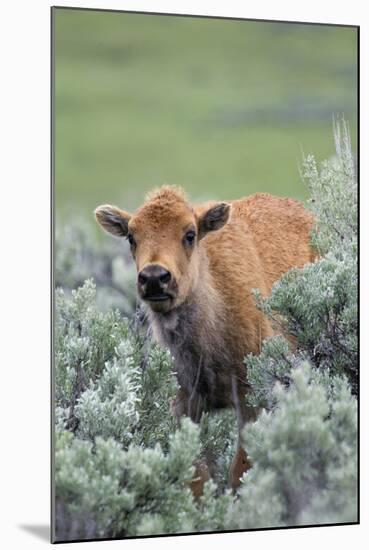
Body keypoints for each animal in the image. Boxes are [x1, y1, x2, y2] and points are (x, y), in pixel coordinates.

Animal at [94, 185, 314, 492]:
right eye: (131, 237)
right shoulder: (185, 404)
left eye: (190, 234)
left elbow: (240, 471)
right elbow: (197, 476)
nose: (154, 278)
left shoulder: (252, 401)